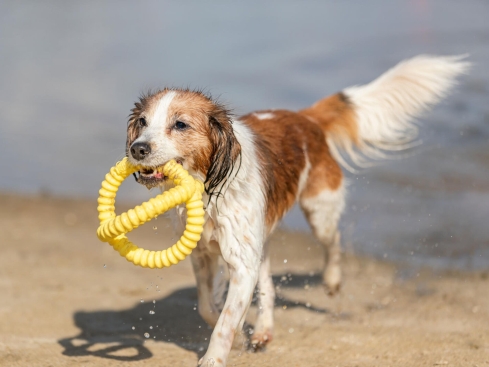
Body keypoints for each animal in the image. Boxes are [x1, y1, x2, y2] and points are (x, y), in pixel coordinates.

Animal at [125, 53, 466, 366]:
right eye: (142, 122)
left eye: (180, 124)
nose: (137, 149)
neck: (208, 189)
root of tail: (305, 119)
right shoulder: (204, 255)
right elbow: (209, 307)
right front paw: (239, 337)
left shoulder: (242, 262)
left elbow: (224, 323)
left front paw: (214, 358)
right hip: (264, 238)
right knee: (267, 287)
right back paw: (263, 331)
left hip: (319, 212)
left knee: (334, 241)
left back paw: (331, 280)